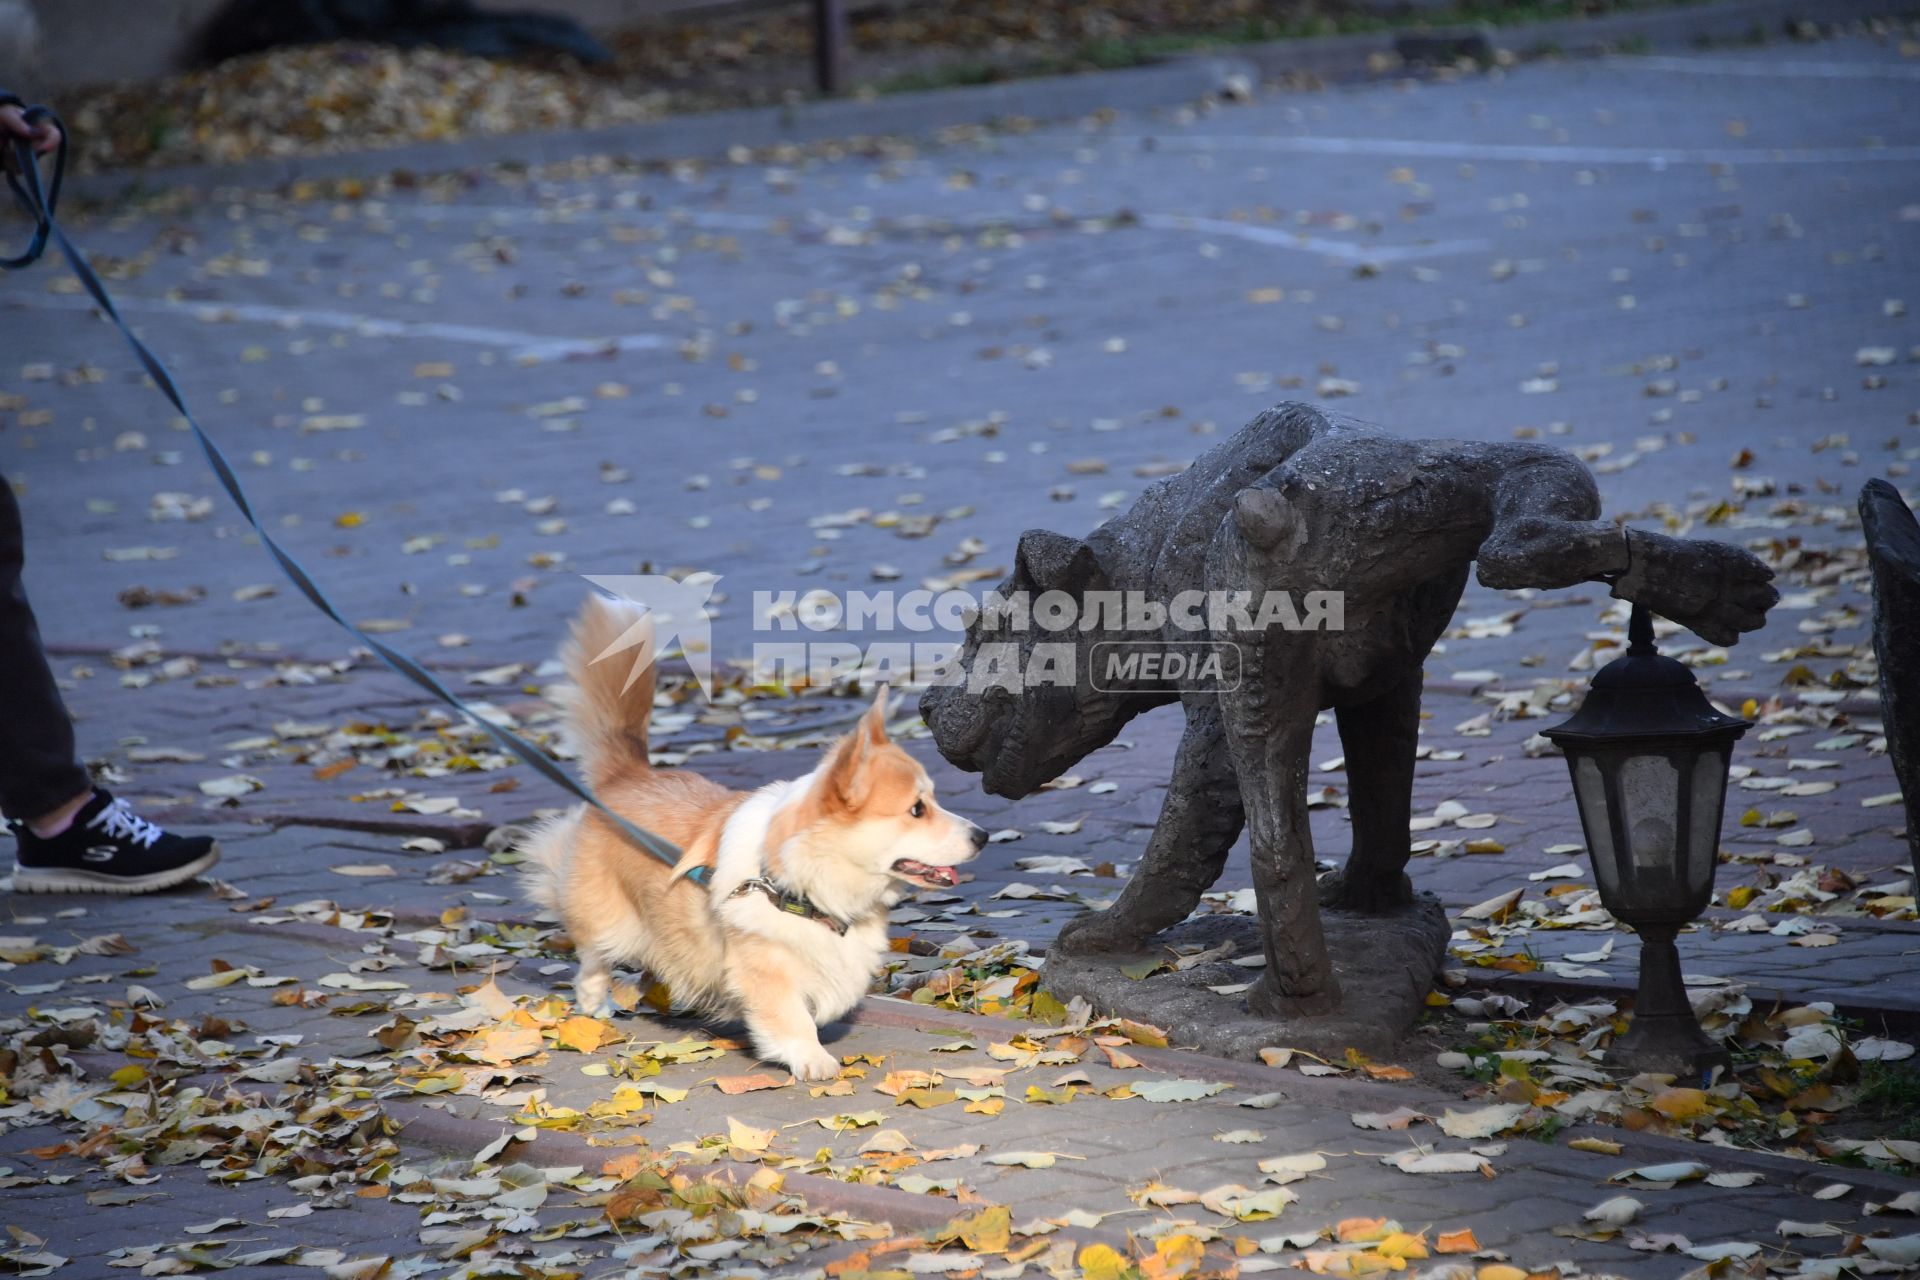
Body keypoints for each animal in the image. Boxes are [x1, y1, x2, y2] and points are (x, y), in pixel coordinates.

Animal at [522, 594, 983, 1074]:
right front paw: (812, 1058)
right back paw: (597, 1003)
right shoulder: (765, 967)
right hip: (606, 918)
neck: (798, 885)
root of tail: (627, 774)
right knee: (593, 957)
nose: (983, 836)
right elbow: (790, 1015)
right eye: (917, 809)